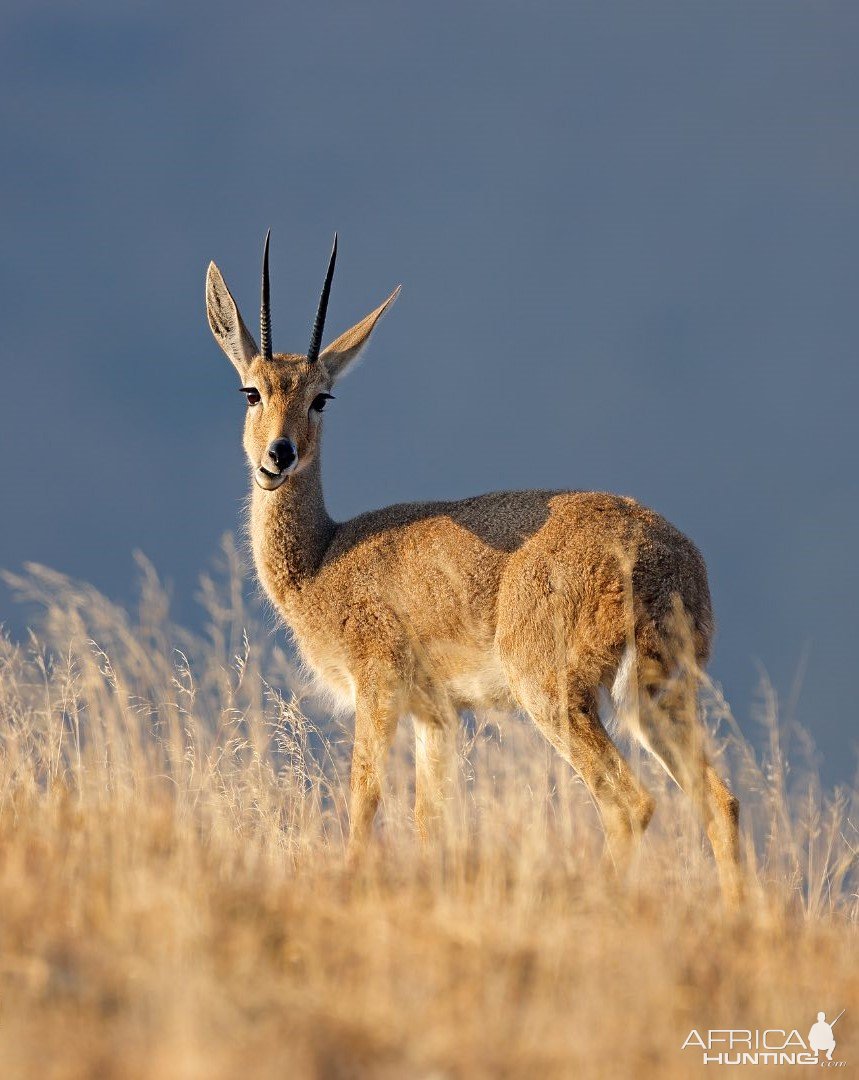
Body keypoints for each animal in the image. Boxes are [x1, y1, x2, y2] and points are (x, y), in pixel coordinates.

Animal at [205, 234, 743, 902]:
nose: (280, 455)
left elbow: (364, 800)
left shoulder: (377, 686)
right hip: (656, 698)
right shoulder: (438, 713)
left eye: (321, 396)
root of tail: (663, 558)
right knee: (719, 802)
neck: (322, 558)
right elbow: (428, 818)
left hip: (558, 696)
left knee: (630, 803)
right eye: (251, 391)